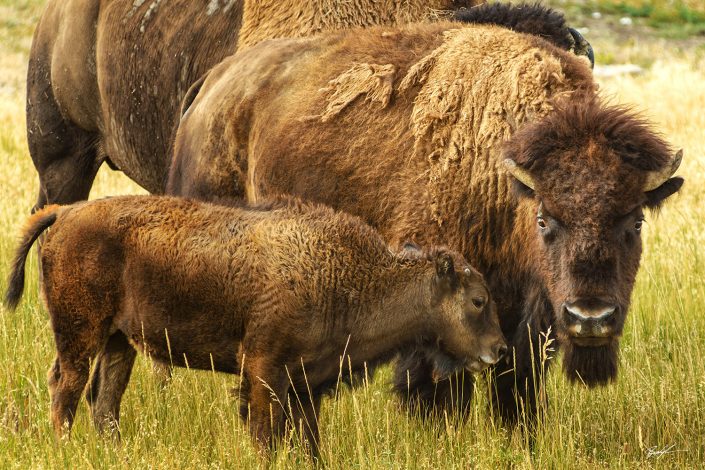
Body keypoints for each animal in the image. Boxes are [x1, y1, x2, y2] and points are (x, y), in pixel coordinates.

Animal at [2, 195, 504, 448]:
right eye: (479, 300)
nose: (498, 350)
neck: (343, 275)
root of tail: (66, 212)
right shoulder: (264, 371)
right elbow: (265, 436)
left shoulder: (305, 387)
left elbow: (307, 441)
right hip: (80, 335)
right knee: (66, 389)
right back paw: (65, 448)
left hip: (119, 342)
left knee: (104, 402)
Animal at [166, 22, 680, 420]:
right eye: (544, 219)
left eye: (635, 222)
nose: (591, 317)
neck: (504, 177)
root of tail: (214, 84)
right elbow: (439, 387)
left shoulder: (530, 320)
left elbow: (516, 392)